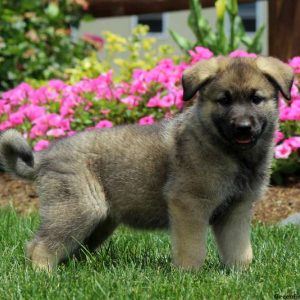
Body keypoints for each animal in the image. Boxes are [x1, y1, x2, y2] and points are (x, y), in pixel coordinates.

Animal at [0, 56, 292, 272]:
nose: (243, 127)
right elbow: (192, 248)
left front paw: (240, 274)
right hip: (78, 209)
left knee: (64, 247)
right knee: (40, 246)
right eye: (225, 100)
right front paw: (189, 276)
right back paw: (44, 275)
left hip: (98, 221)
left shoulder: (236, 210)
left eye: (256, 99)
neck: (229, 152)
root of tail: (44, 156)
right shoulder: (188, 205)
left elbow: (240, 250)